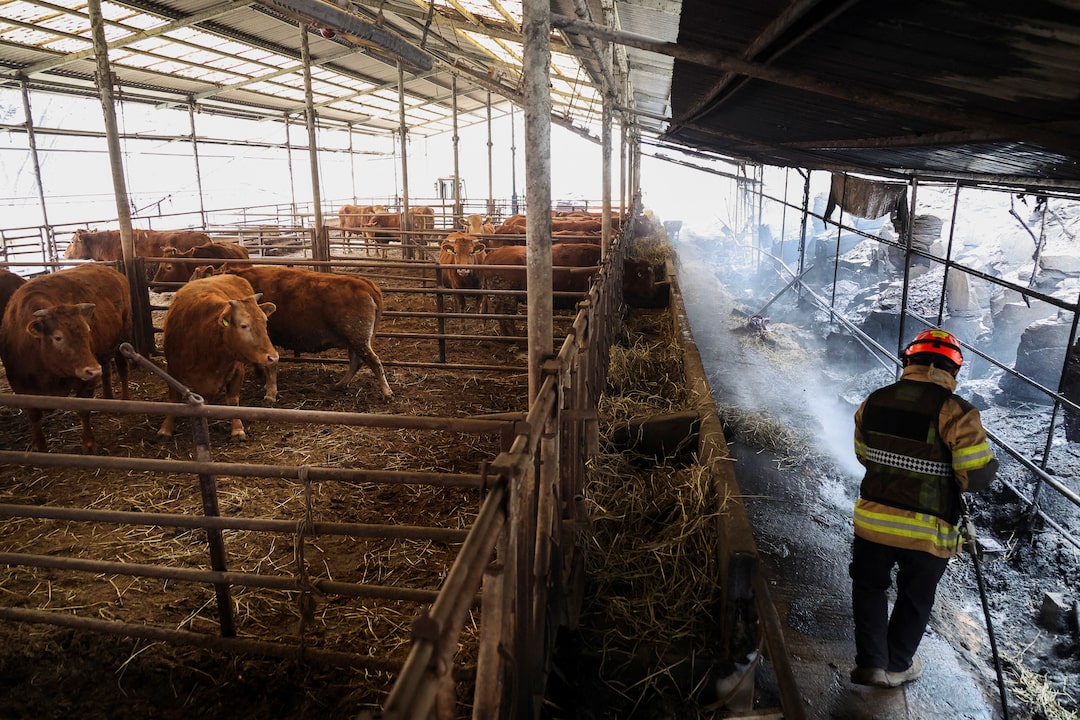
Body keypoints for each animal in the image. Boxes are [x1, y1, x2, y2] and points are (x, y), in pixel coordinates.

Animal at [0, 264, 132, 452]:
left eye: (87, 330)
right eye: (58, 337)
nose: (93, 370)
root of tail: (111, 270)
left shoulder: (84, 381)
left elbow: (83, 409)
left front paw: (89, 443)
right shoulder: (20, 385)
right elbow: (34, 414)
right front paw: (39, 446)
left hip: (122, 338)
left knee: (122, 368)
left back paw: (124, 401)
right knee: (106, 370)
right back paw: (107, 398)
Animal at [157, 274, 279, 442]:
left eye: (265, 321)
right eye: (244, 325)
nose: (273, 357)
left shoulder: (237, 369)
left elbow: (233, 400)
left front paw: (237, 429)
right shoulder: (172, 369)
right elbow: (174, 398)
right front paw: (166, 429)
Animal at [219, 265, 393, 403]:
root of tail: (364, 284)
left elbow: (271, 366)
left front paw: (270, 394)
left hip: (358, 339)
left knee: (373, 361)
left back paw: (387, 393)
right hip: (355, 341)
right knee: (357, 362)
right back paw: (339, 385)